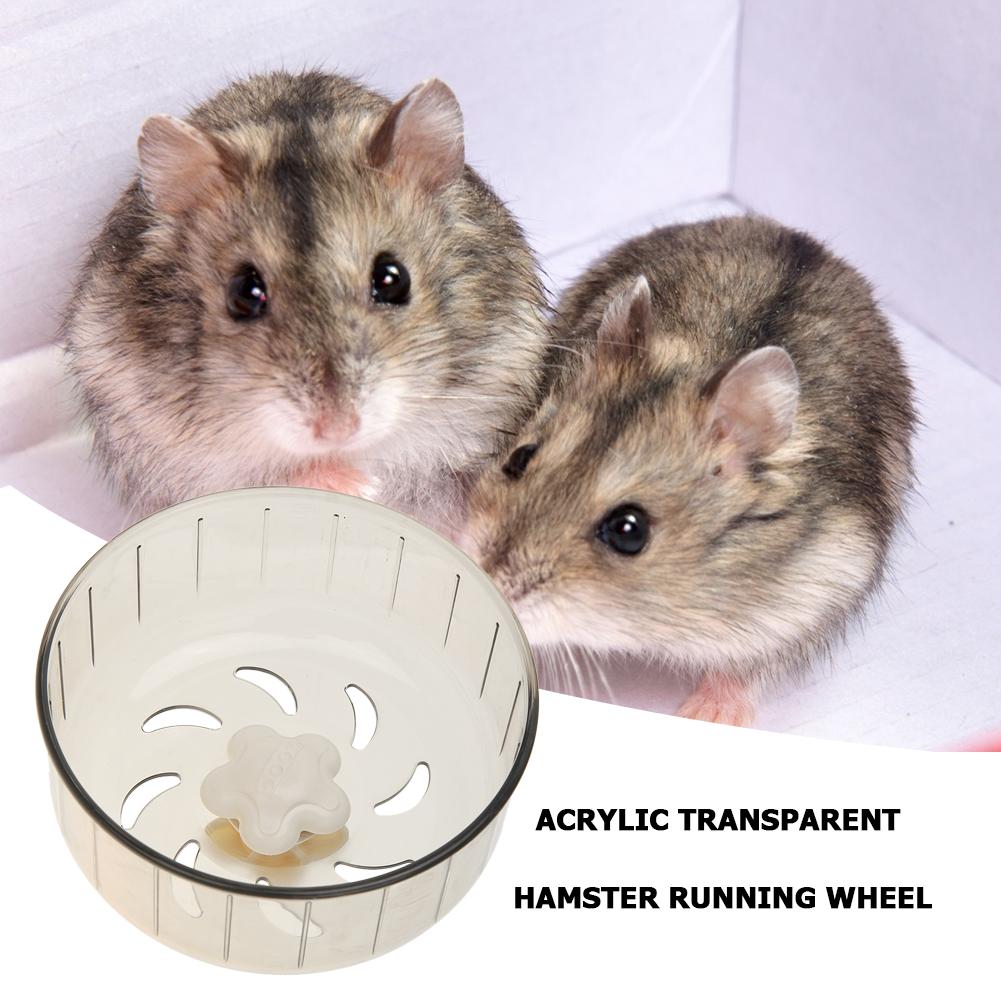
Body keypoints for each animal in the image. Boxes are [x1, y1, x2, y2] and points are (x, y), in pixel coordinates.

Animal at [463, 216, 916, 726]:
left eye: (628, 531)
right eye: (518, 458)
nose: (487, 577)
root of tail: (799, 235)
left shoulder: (810, 599)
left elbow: (743, 668)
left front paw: (704, 717)